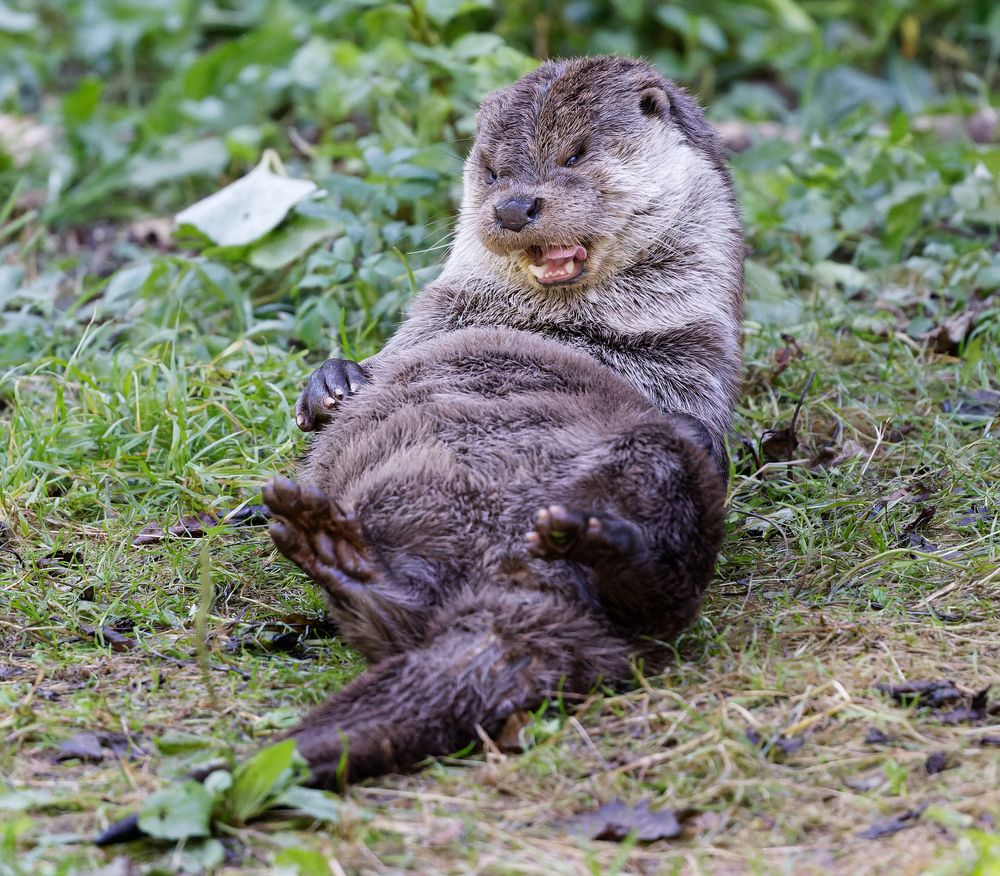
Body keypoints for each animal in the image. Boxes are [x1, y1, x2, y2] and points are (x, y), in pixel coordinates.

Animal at [266, 54, 744, 788]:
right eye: (492, 170)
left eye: (575, 155)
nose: (515, 206)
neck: (569, 327)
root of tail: (515, 601)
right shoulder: (425, 328)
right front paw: (333, 384)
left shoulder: (695, 359)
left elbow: (703, 434)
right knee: (394, 624)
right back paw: (336, 553)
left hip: (649, 478)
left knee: (663, 593)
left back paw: (597, 538)